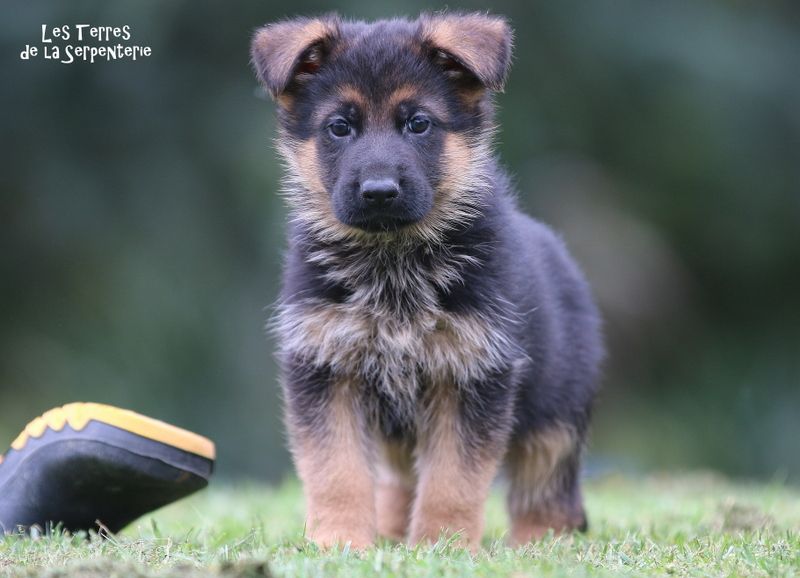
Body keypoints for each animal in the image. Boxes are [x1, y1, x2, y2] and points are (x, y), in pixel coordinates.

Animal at [253, 11, 604, 548]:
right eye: (339, 127)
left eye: (418, 123)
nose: (379, 192)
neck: (392, 261)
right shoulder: (326, 368)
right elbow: (336, 470)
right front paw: (340, 542)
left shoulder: (472, 375)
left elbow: (453, 479)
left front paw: (444, 545)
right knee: (399, 480)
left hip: (554, 417)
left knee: (546, 490)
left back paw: (537, 544)